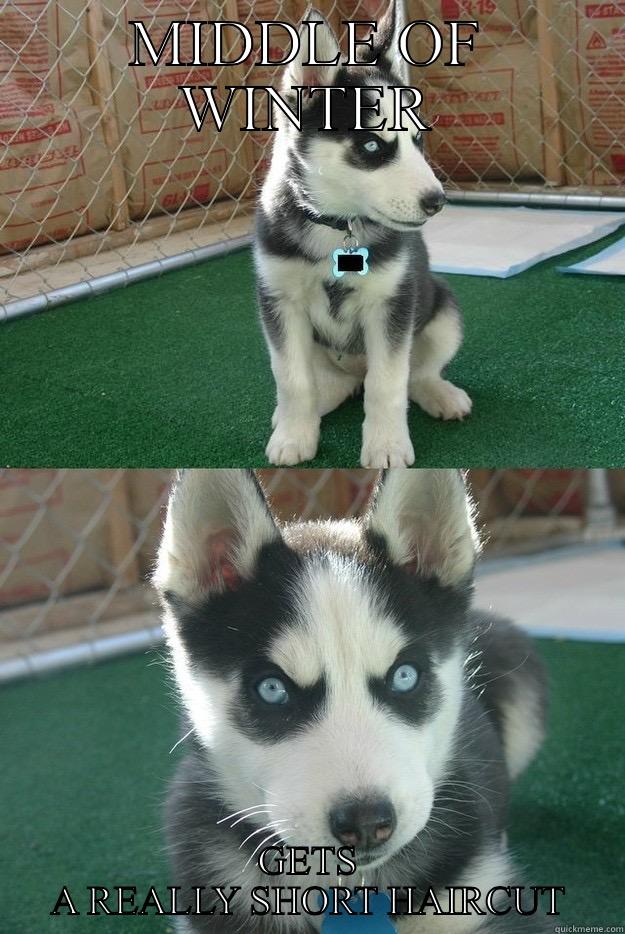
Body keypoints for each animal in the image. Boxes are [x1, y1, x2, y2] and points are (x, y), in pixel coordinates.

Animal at [256, 0, 470, 468]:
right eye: (371, 146)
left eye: (418, 141)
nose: (437, 201)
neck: (338, 226)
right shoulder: (280, 303)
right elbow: (292, 379)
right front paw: (294, 435)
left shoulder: (391, 305)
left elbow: (388, 383)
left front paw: (386, 445)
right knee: (327, 384)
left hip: (443, 311)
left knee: (414, 374)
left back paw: (440, 393)